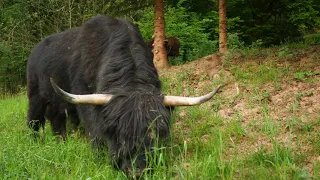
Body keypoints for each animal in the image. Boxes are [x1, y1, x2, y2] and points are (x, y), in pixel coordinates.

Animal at [26, 15, 220, 176]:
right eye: (116, 131)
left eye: (154, 133)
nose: (136, 172)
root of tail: (36, 49)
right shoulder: (85, 98)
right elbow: (94, 130)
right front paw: (98, 157)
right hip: (35, 94)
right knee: (34, 119)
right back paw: (34, 142)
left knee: (56, 118)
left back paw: (61, 141)